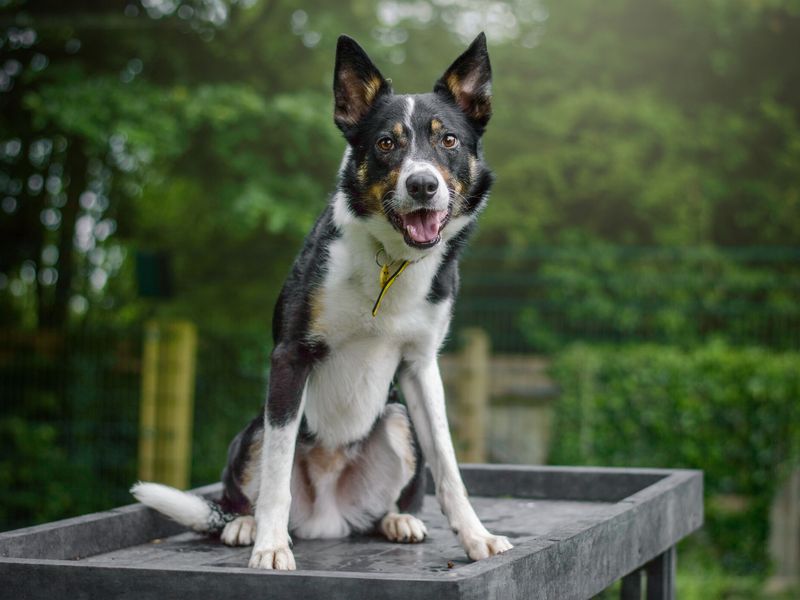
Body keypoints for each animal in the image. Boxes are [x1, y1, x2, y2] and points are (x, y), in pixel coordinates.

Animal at [128, 32, 510, 572]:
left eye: (448, 140)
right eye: (386, 143)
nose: (422, 184)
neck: (389, 263)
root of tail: (328, 518)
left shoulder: (421, 366)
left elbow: (449, 465)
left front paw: (476, 536)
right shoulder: (290, 357)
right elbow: (277, 474)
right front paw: (270, 545)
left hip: (397, 418)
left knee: (396, 491)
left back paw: (397, 518)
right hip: (253, 429)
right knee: (245, 488)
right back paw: (246, 524)